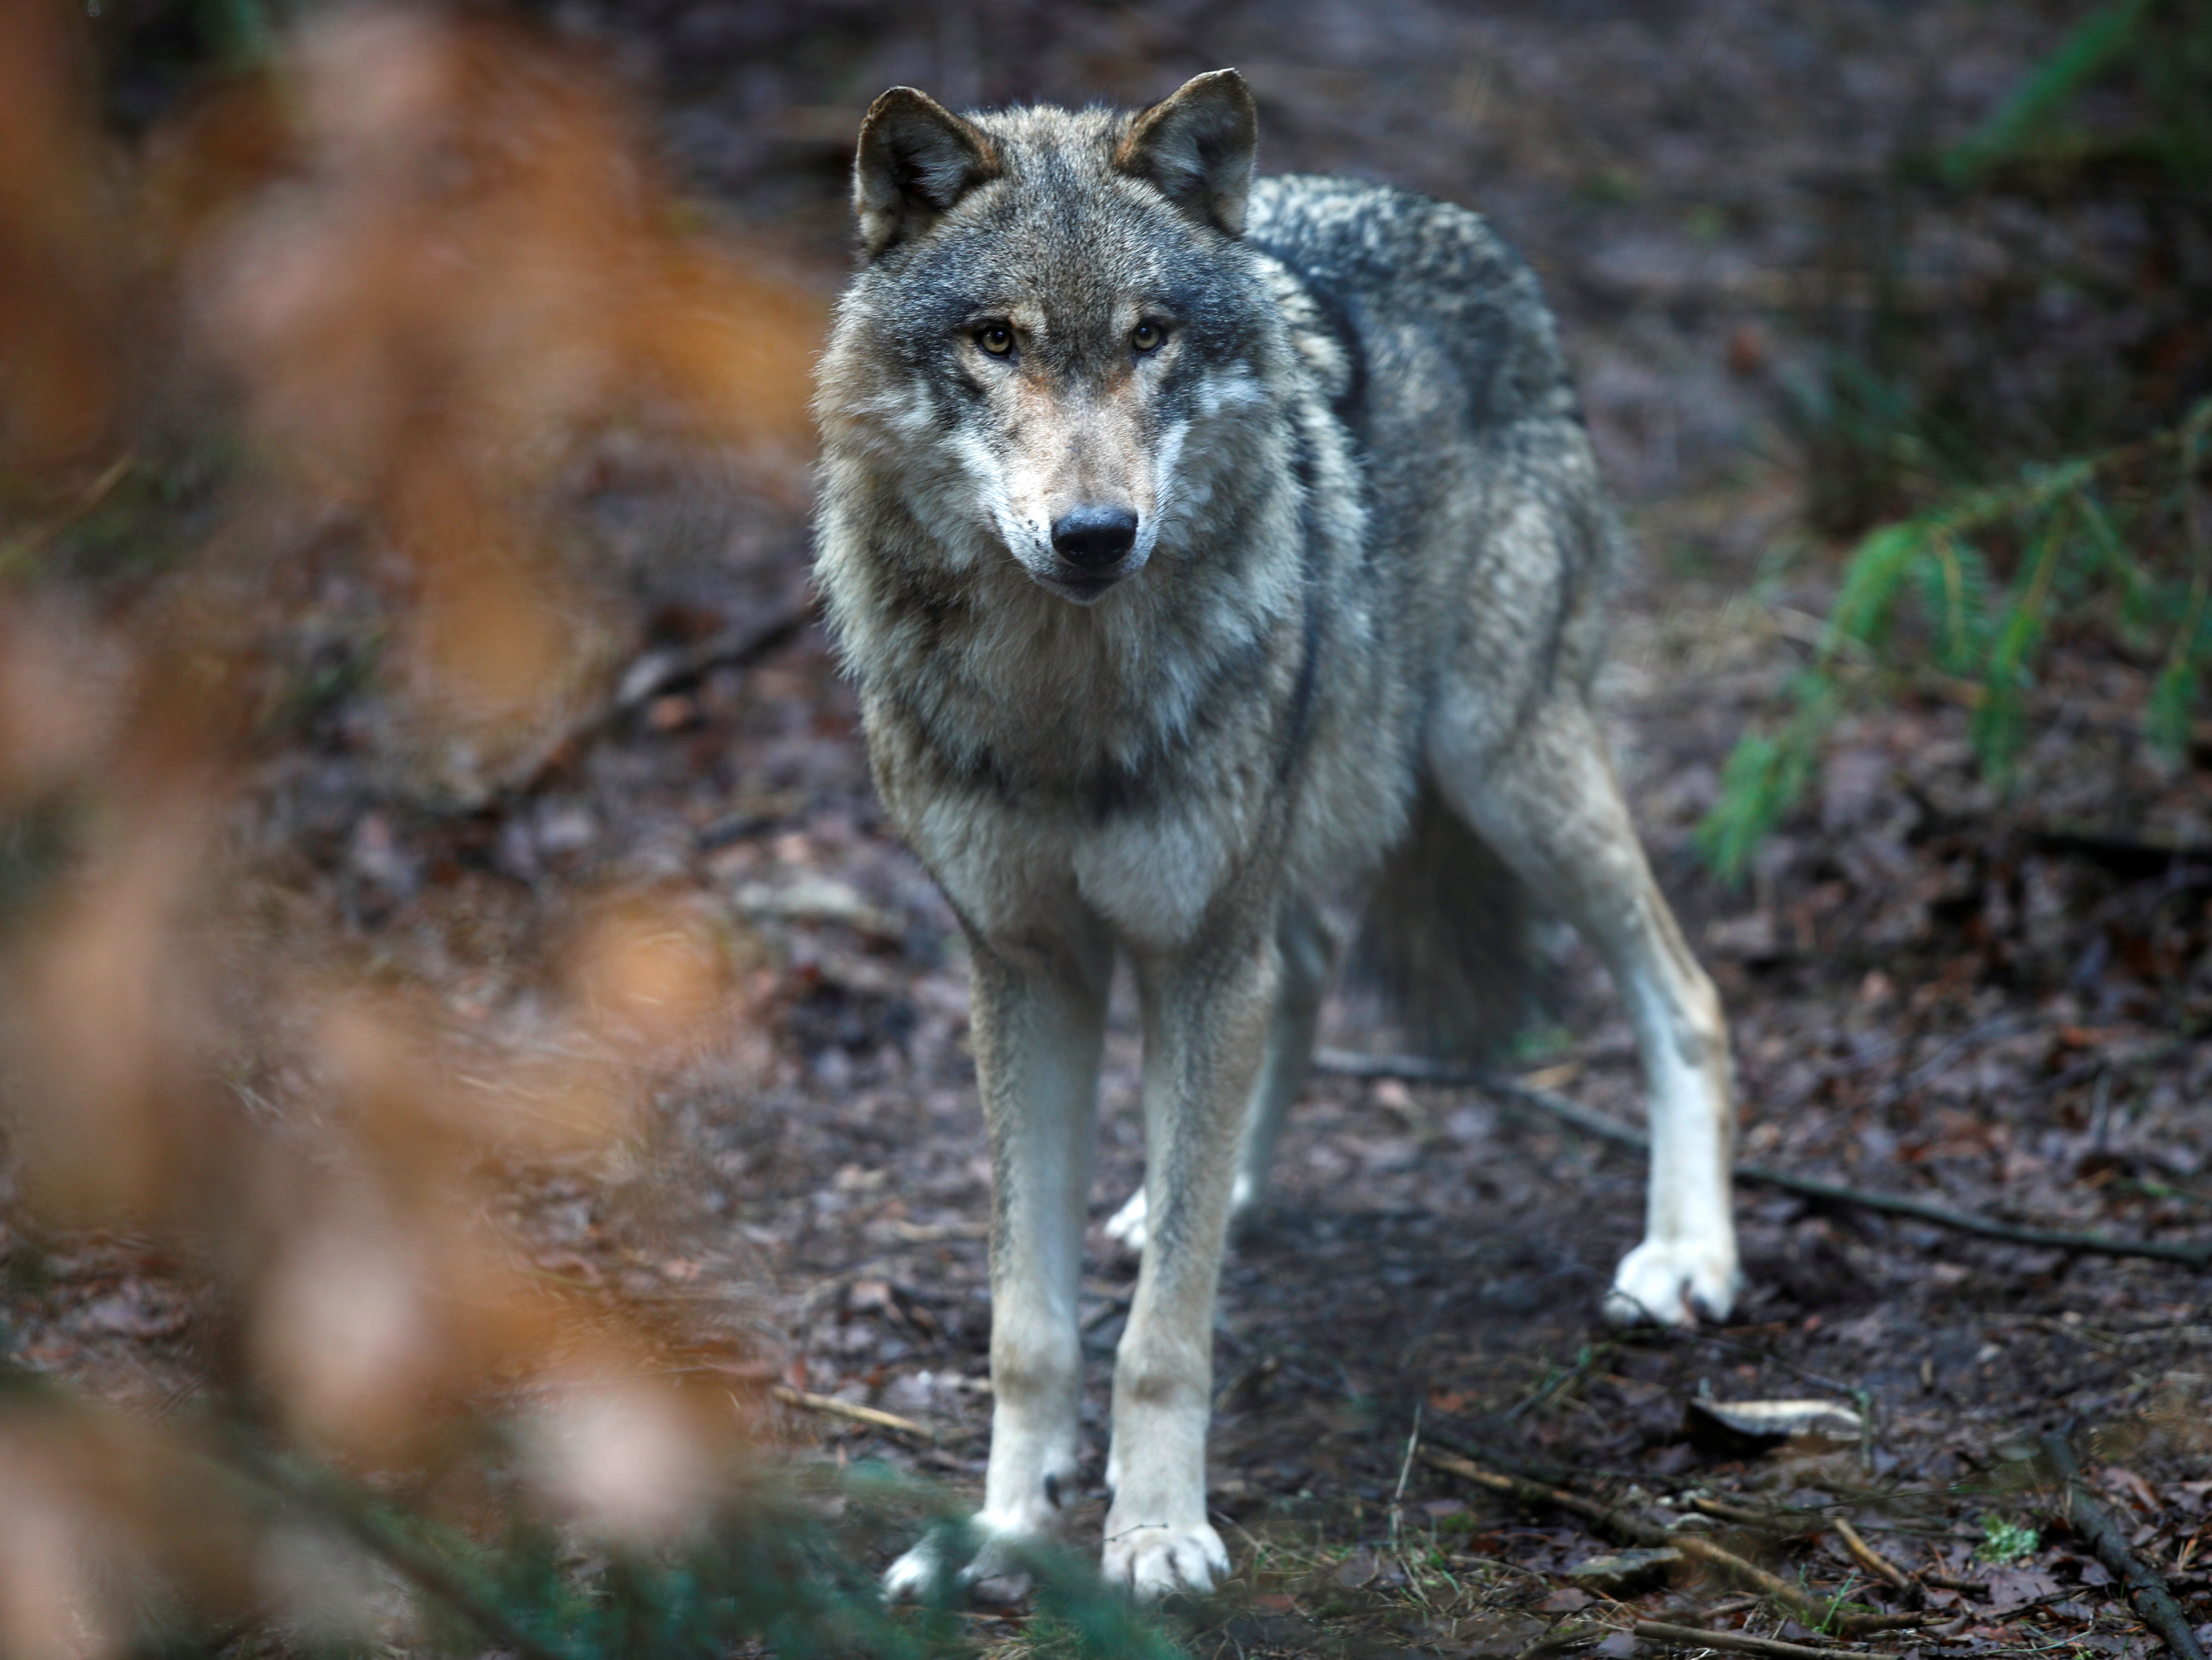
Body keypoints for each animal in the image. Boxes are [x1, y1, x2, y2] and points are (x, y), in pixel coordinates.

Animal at [805, 71, 1734, 1602]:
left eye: (1149, 338)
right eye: (997, 339)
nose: (1095, 532)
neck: (1064, 698)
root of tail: (1457, 219)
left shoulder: (1188, 938)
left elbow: (1162, 1334)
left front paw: (1155, 1531)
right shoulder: (1024, 964)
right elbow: (1029, 1322)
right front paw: (999, 1530)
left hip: (1498, 766)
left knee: (1688, 991)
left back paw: (1686, 1255)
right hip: (1289, 859)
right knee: (1291, 989)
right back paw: (1202, 1190)